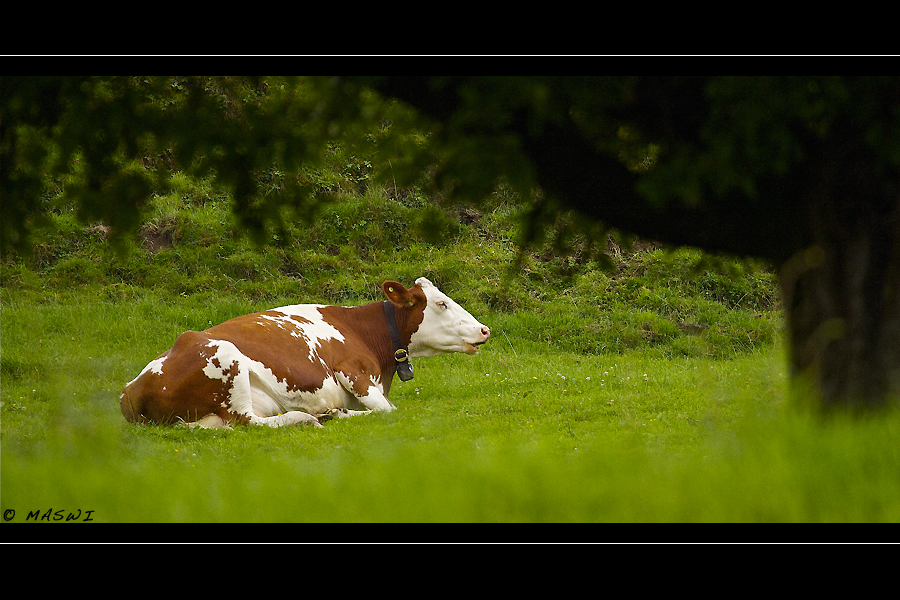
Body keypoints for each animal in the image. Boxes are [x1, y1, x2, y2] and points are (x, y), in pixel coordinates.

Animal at [119, 278, 492, 428]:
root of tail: (131, 391)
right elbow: (389, 411)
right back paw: (311, 417)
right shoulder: (353, 372)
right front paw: (343, 412)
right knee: (249, 421)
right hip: (227, 360)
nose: (484, 329)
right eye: (441, 303)